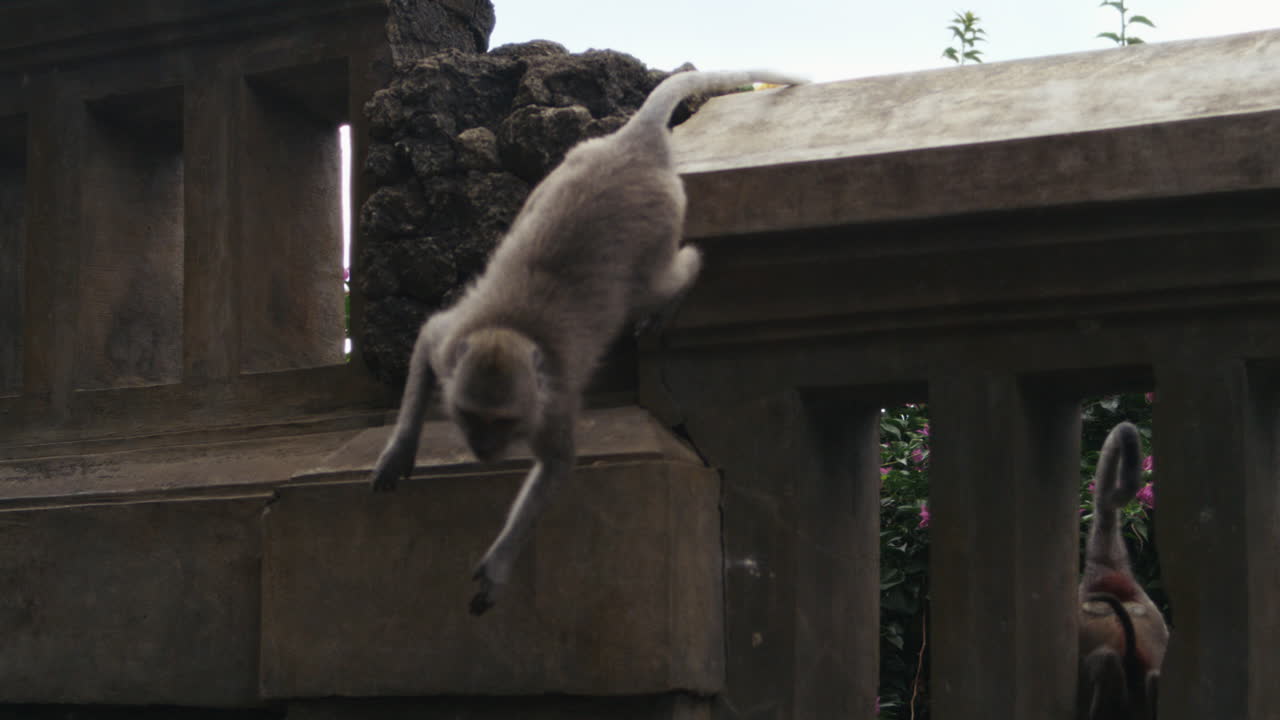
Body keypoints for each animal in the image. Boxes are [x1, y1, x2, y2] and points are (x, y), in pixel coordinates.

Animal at [368, 69, 808, 615]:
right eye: (471, 417)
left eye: (502, 421)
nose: (484, 449)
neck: (514, 334)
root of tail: (635, 145)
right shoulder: (451, 350)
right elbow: (427, 338)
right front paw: (399, 449)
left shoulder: (550, 405)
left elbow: (557, 465)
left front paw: (498, 566)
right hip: (570, 163)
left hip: (660, 224)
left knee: (660, 278)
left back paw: (681, 281)